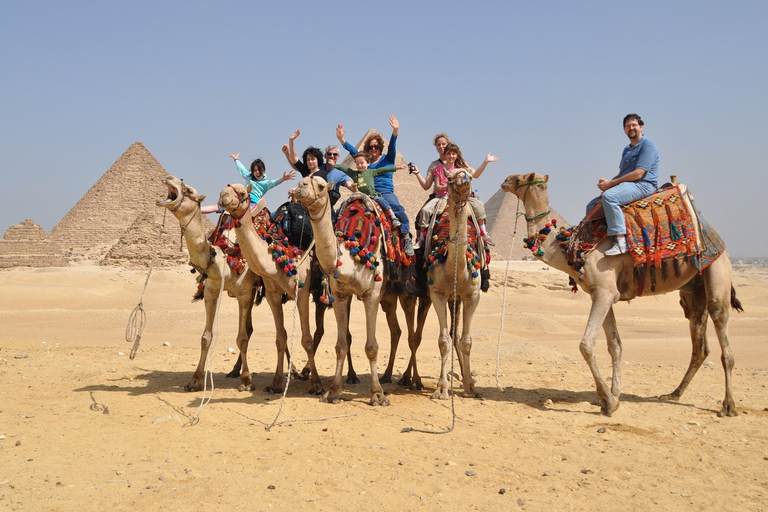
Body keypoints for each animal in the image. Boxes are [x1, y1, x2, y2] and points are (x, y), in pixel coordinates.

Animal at [156, 176, 258, 392]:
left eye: (188, 190)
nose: (168, 178)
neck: (223, 258)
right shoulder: (211, 291)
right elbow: (206, 337)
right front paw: (195, 380)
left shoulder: (245, 293)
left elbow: (242, 338)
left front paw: (247, 381)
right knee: (250, 328)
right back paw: (234, 370)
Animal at [219, 182, 324, 394]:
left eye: (242, 193)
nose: (223, 196)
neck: (274, 262)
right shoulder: (272, 294)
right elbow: (280, 338)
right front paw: (275, 383)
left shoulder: (301, 292)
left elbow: (306, 339)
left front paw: (317, 384)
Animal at [500, 173, 740, 416]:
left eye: (523, 177)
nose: (505, 181)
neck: (570, 247)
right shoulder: (602, 294)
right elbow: (615, 345)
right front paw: (614, 395)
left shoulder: (604, 292)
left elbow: (586, 344)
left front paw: (609, 401)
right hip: (693, 289)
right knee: (699, 343)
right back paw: (674, 393)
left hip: (718, 270)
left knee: (721, 331)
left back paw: (728, 405)